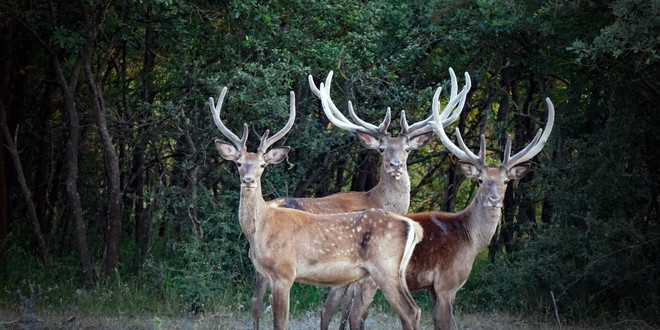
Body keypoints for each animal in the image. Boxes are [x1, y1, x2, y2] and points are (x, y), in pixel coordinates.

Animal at [211, 86, 428, 328]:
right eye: (238, 163)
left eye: (262, 165)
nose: (248, 180)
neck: (262, 229)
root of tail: (413, 226)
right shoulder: (269, 273)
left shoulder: (284, 272)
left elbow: (281, 322)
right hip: (393, 272)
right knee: (414, 309)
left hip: (384, 267)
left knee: (408, 310)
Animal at [332, 90, 556, 330]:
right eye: (480, 180)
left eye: (505, 181)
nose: (494, 200)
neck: (470, 240)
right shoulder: (447, 283)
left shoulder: (432, 289)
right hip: (374, 277)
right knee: (356, 313)